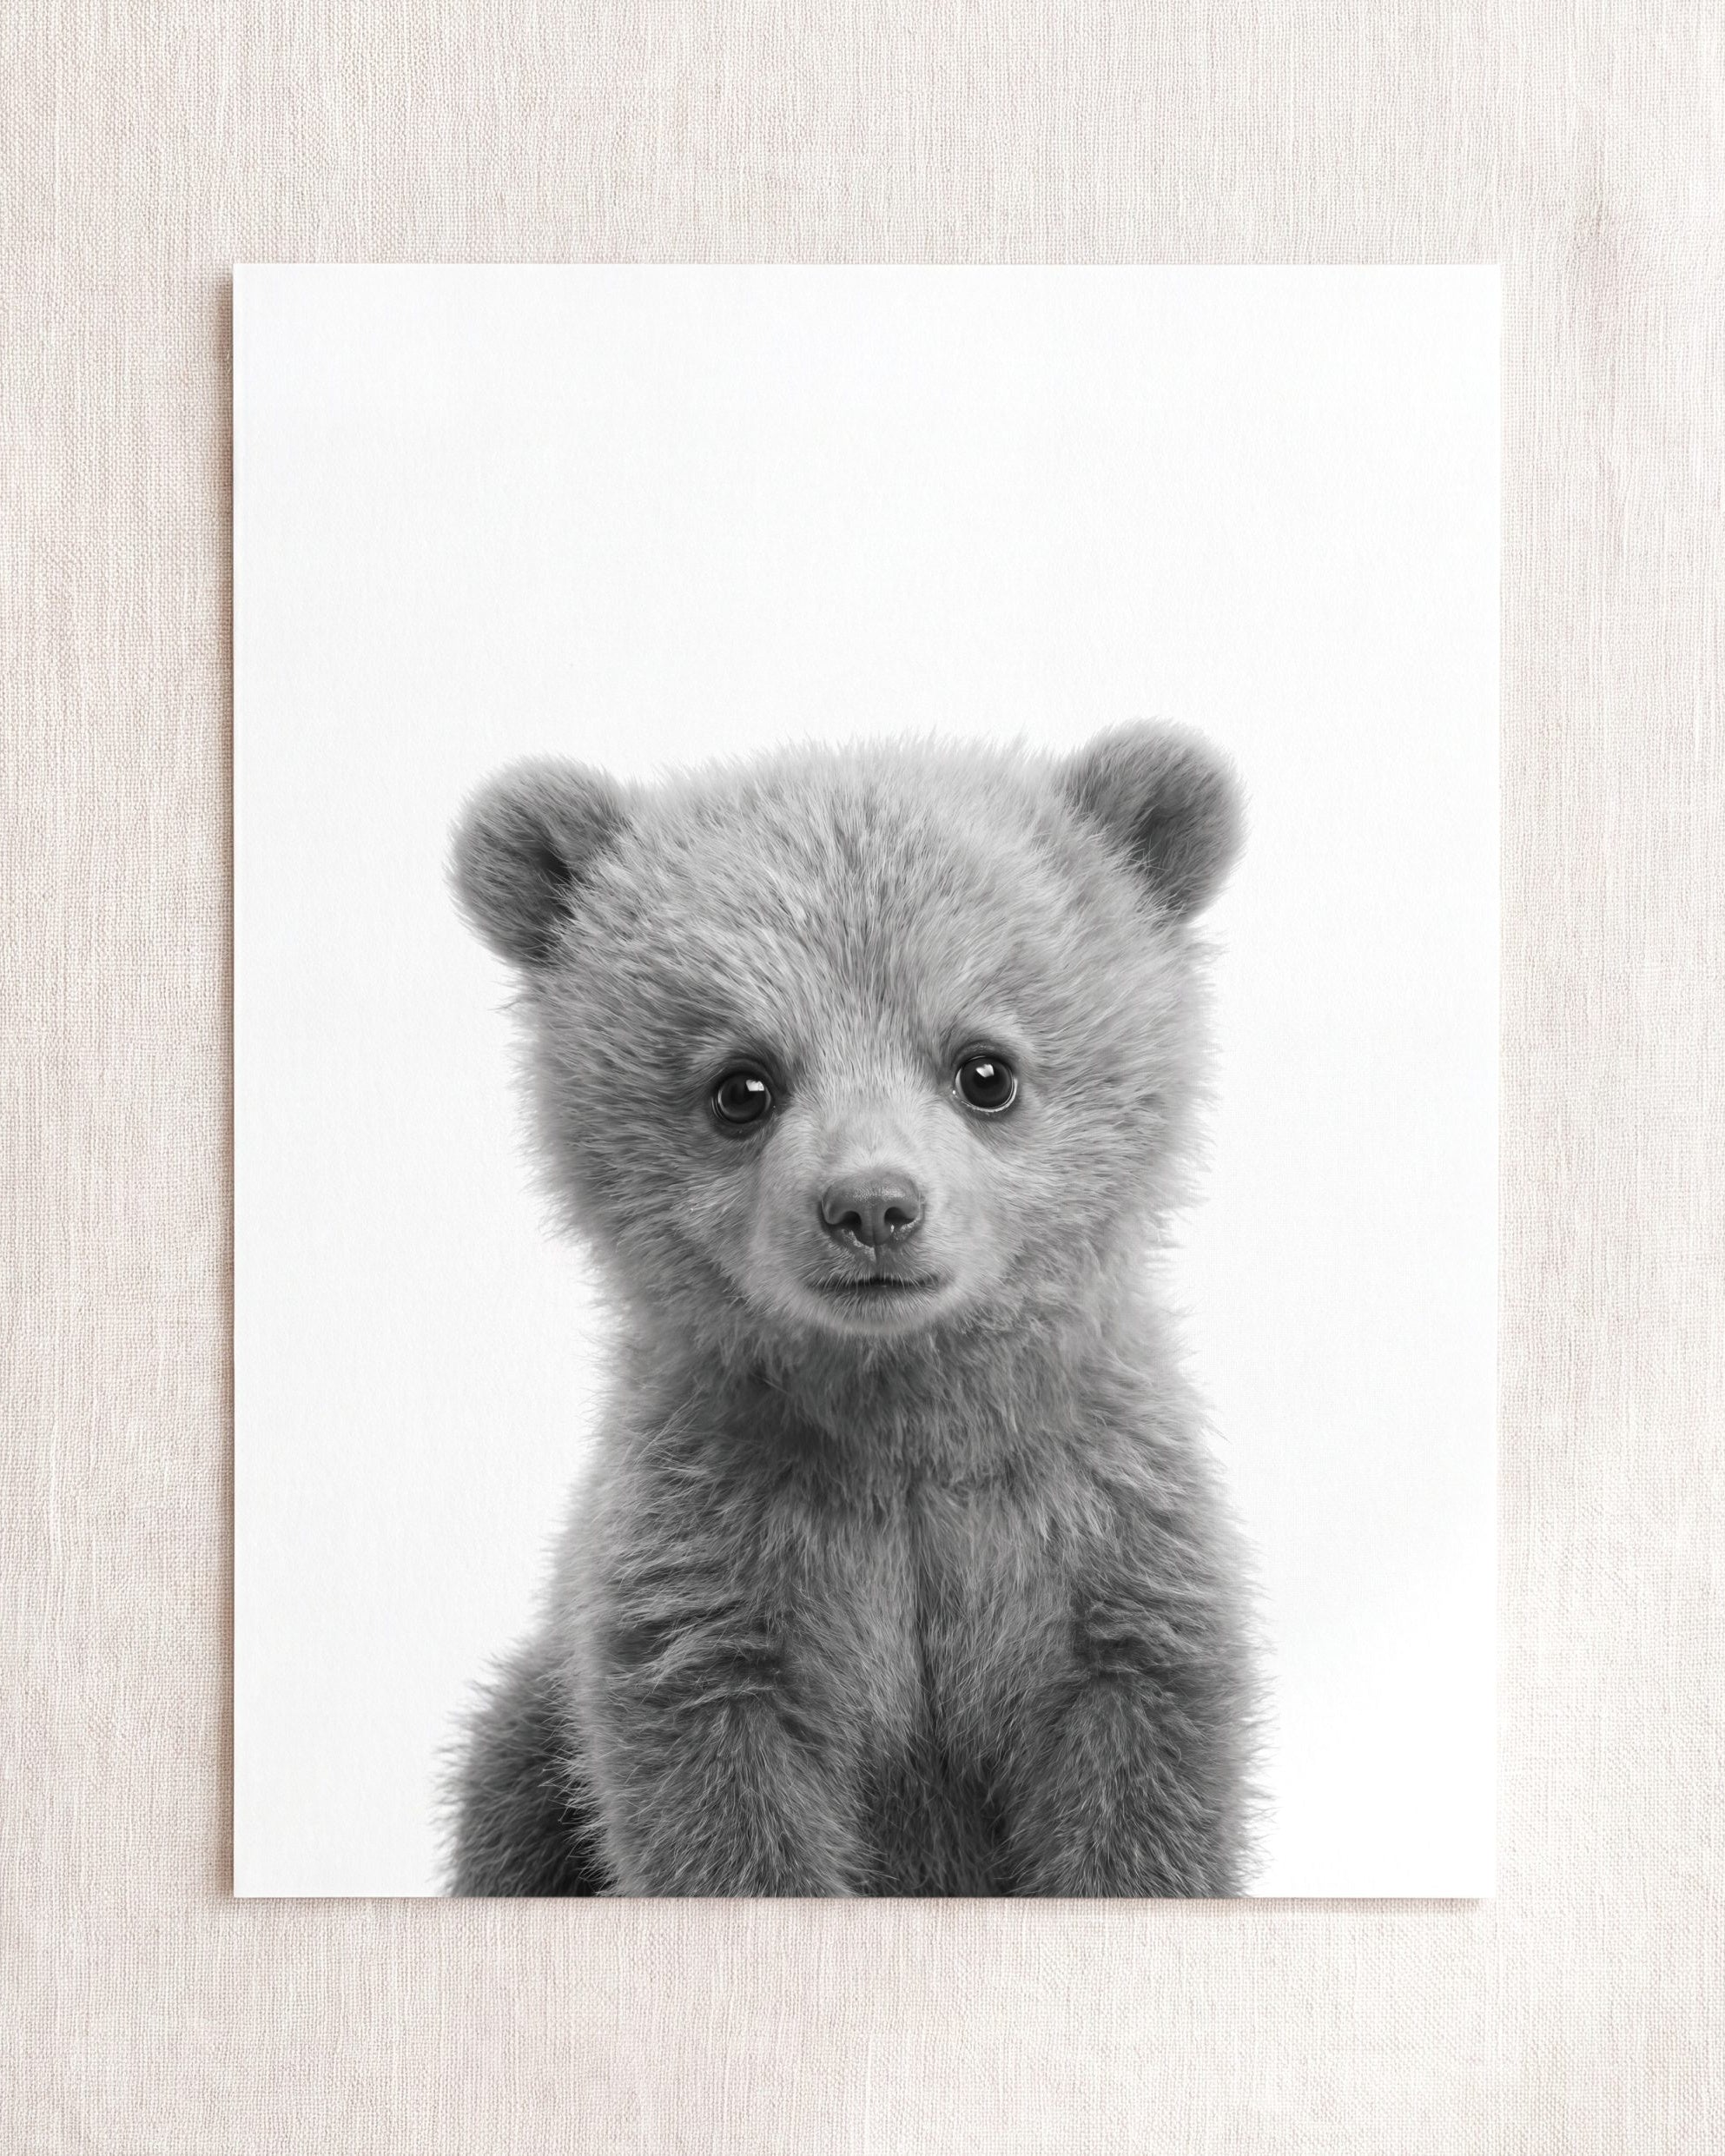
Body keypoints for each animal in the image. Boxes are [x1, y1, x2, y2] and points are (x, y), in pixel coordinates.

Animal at [445, 721, 1259, 1897]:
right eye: (742, 1084)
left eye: (985, 1068)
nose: (873, 1206)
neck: (902, 1418)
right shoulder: (713, 1577)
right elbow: (724, 1820)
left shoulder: (1101, 1552)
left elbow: (1140, 1797)